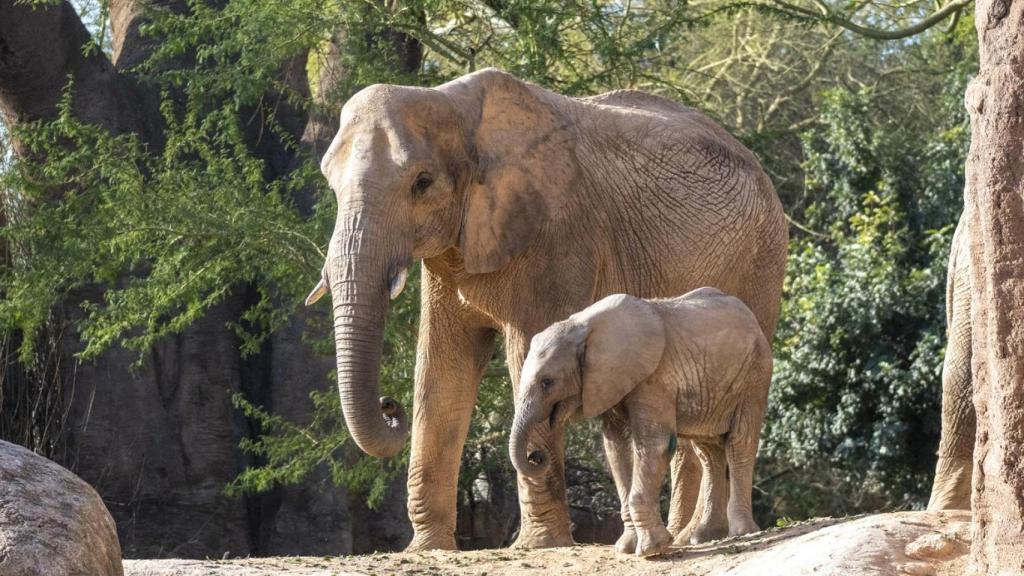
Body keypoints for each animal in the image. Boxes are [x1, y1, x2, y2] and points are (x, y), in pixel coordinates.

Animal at [509, 290, 771, 557]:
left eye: (547, 382)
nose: (536, 456)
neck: (581, 325)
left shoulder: (655, 377)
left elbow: (656, 445)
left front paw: (651, 549)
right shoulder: (611, 379)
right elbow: (616, 448)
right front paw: (626, 548)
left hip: (754, 375)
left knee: (739, 443)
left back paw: (742, 532)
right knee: (708, 451)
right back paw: (704, 537)